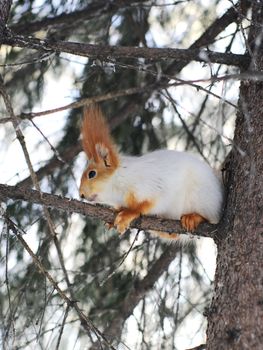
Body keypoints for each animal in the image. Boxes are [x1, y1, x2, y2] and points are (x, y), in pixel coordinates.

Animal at [79, 105, 224, 239]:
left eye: (92, 174)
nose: (81, 194)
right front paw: (115, 214)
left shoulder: (152, 188)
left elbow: (145, 206)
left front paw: (127, 214)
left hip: (202, 199)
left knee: (209, 217)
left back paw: (193, 218)